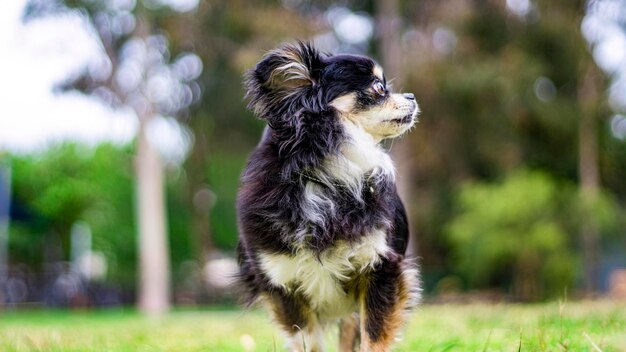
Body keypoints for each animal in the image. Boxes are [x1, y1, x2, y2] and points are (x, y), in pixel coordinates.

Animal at [236, 42, 422, 352]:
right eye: (378, 88)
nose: (411, 96)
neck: (327, 174)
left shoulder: (381, 269)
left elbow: (373, 336)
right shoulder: (283, 283)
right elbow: (308, 341)